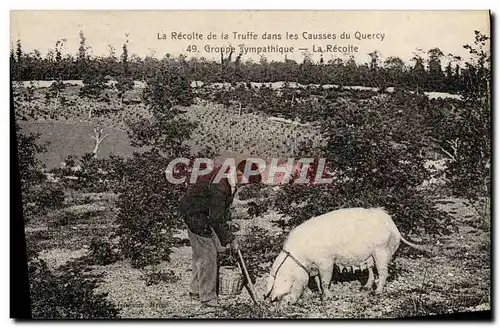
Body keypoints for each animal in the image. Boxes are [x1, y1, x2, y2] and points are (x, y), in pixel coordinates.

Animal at [264, 208, 428, 304]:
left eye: (287, 285)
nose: (279, 301)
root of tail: (393, 226)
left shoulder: (326, 261)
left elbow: (325, 281)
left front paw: (327, 297)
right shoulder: (314, 267)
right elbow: (317, 281)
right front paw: (318, 294)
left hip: (381, 250)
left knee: (383, 272)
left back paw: (377, 292)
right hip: (371, 255)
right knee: (371, 270)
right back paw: (365, 288)